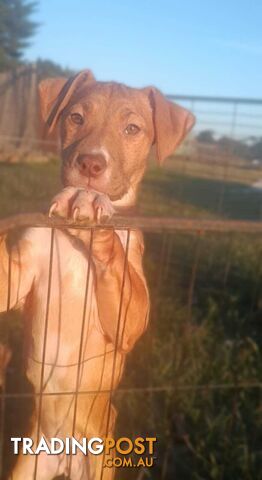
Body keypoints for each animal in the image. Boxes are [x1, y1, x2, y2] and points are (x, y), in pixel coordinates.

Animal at [0, 69, 192, 478]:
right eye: (75, 117)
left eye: (132, 128)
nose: (90, 164)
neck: (74, 238)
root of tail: (63, 452)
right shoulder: (14, 281)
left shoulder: (132, 319)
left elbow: (118, 261)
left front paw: (92, 204)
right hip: (28, 465)